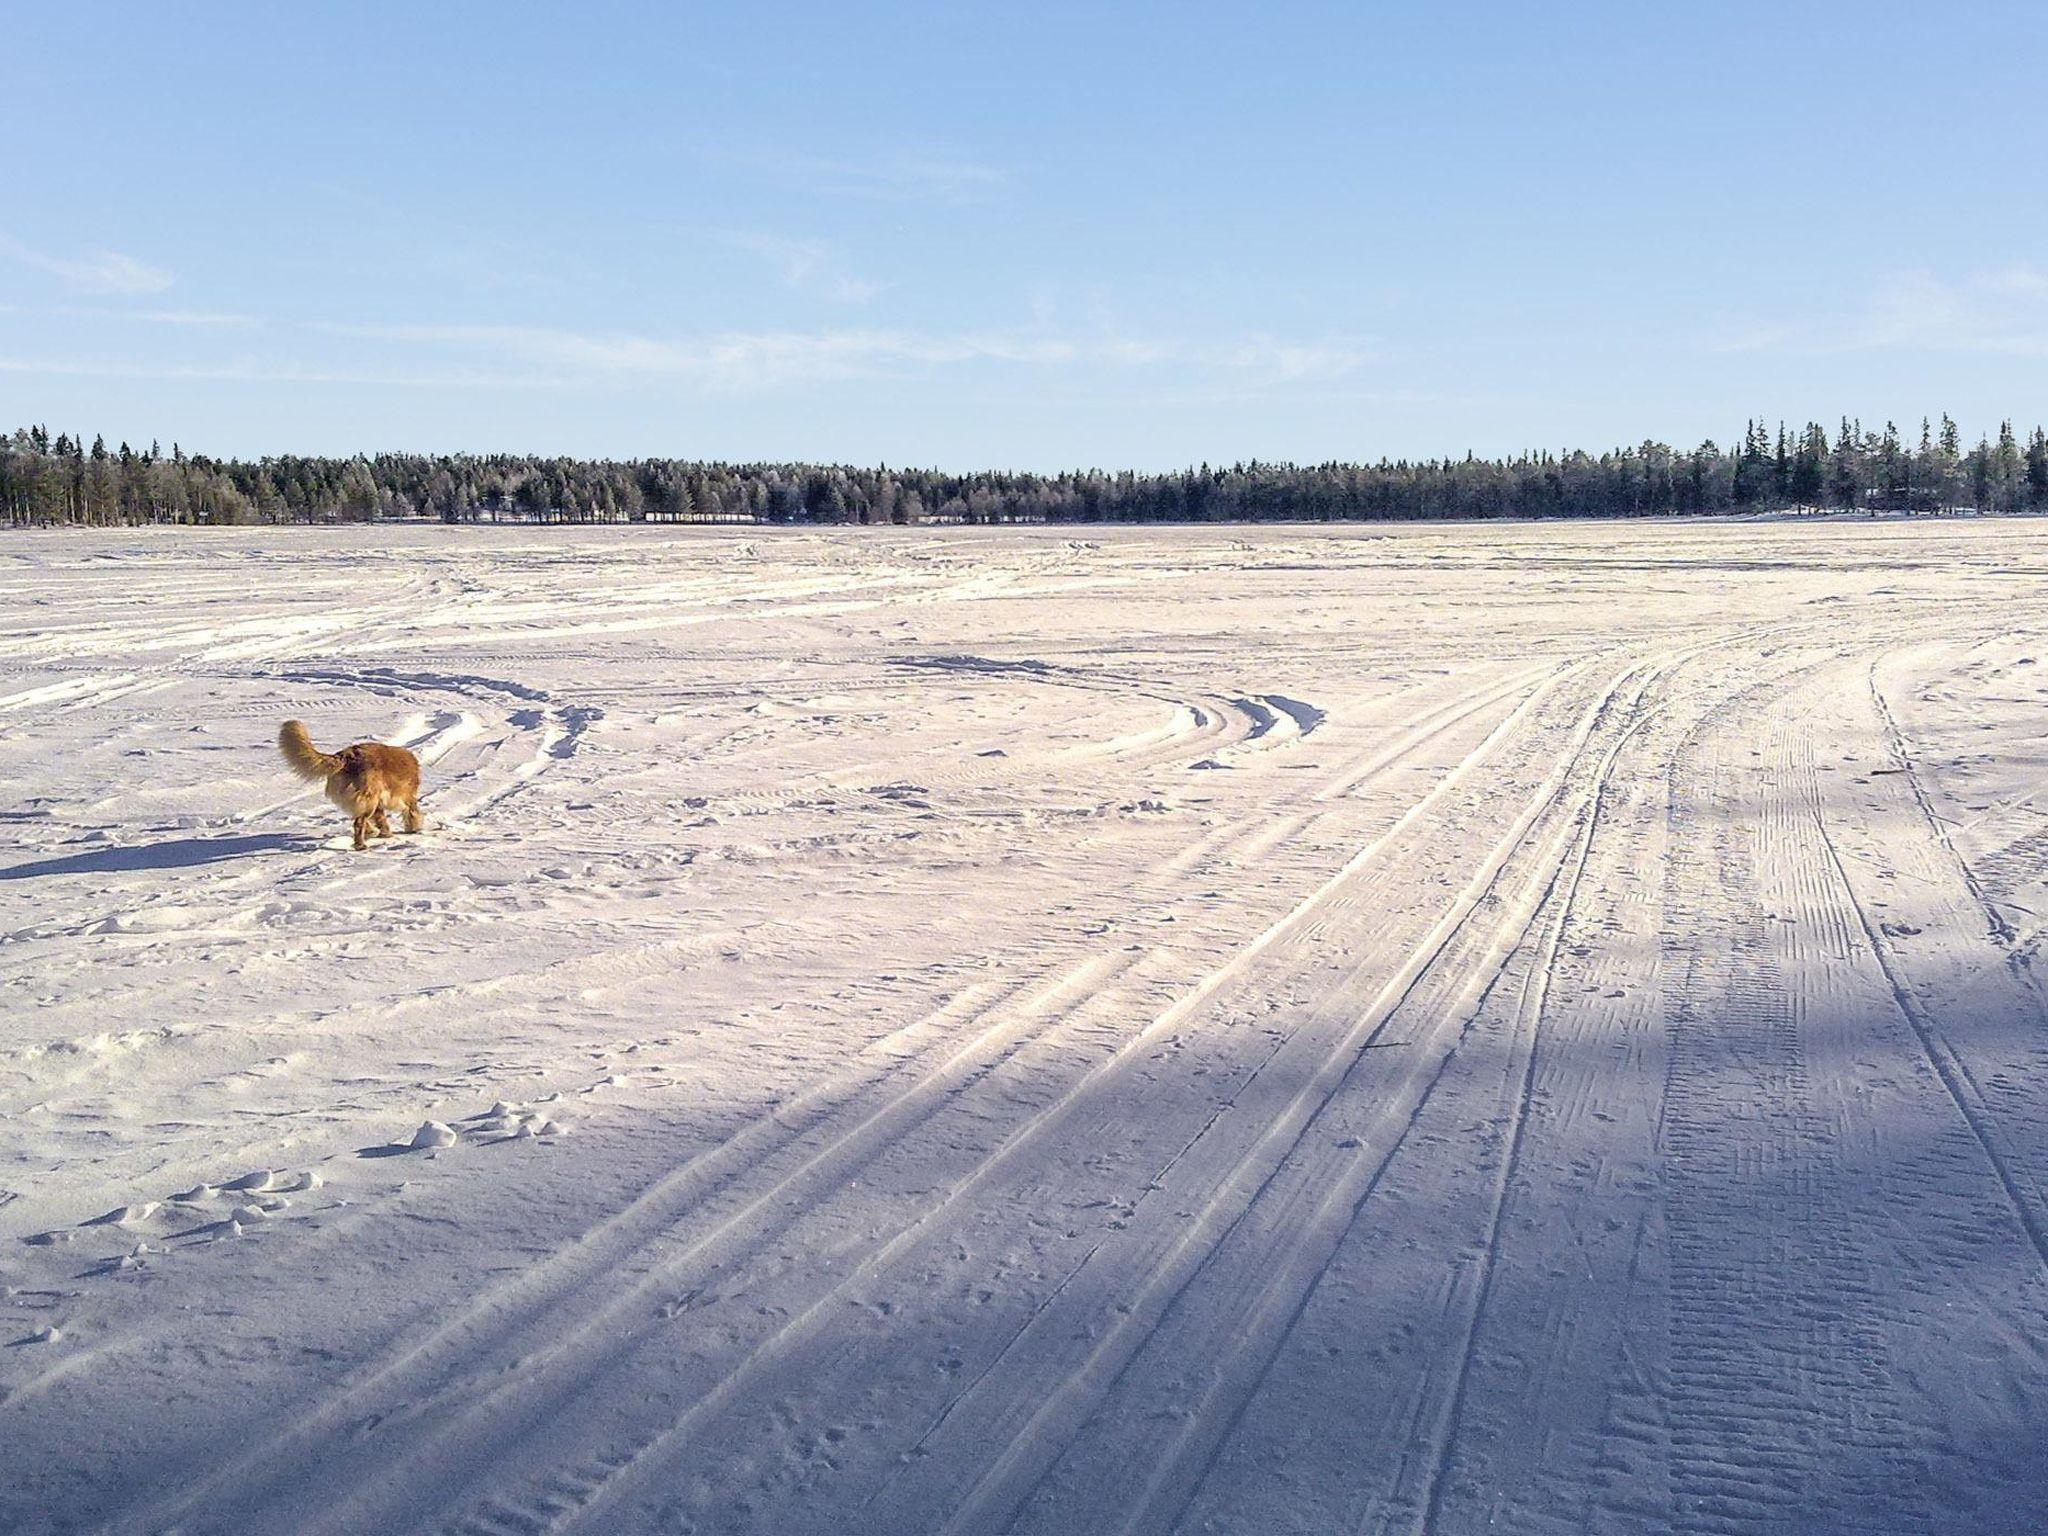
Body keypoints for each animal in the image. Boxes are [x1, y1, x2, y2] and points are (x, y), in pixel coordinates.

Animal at [278, 720, 421, 856]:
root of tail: (346, 756)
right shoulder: (406, 797)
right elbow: (411, 812)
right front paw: (414, 829)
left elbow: (382, 819)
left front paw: (386, 834)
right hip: (369, 799)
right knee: (359, 822)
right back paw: (361, 845)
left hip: (365, 799)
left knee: (361, 819)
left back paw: (370, 833)